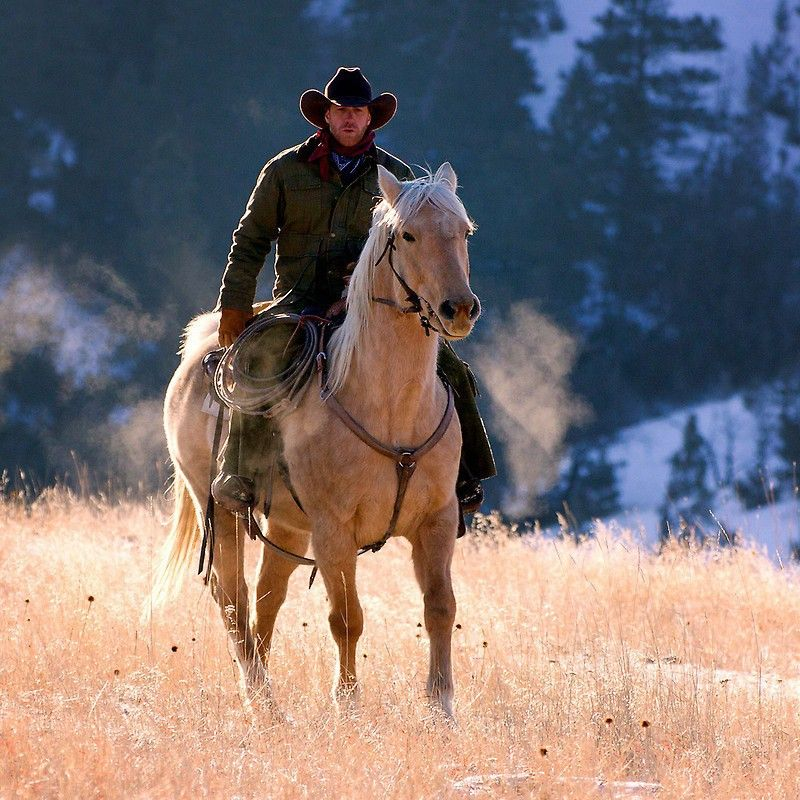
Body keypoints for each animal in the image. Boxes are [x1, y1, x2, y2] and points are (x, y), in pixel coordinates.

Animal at [151, 163, 480, 720]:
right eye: (407, 235)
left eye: (464, 232)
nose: (458, 308)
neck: (388, 406)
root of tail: (201, 346)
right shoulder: (333, 531)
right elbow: (346, 617)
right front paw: (346, 705)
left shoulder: (437, 521)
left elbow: (440, 607)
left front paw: (442, 708)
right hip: (220, 508)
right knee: (233, 597)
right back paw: (259, 698)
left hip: (286, 524)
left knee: (267, 597)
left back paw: (263, 691)